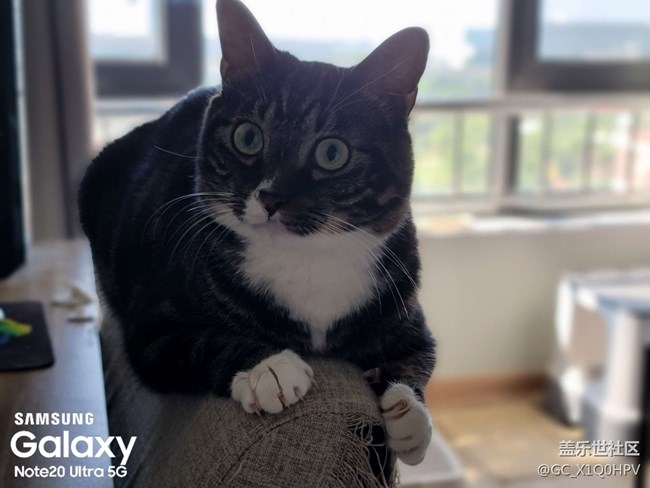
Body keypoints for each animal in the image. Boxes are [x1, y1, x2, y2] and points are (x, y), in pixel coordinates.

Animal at [79, 0, 435, 465]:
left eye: (332, 152)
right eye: (248, 136)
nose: (270, 196)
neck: (308, 259)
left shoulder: (408, 311)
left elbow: (416, 360)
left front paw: (410, 419)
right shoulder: (152, 331)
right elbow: (203, 343)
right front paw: (270, 368)